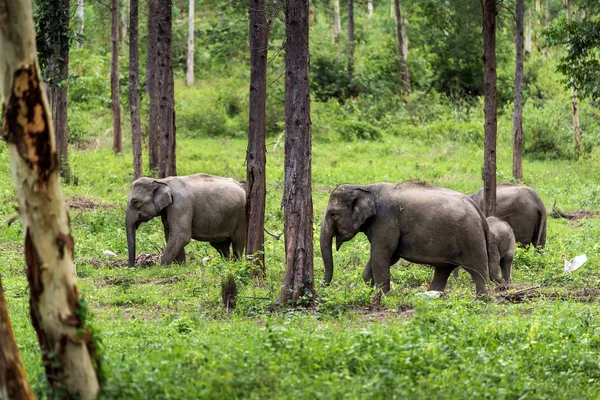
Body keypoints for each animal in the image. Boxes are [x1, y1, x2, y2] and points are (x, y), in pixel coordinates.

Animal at [318, 180, 502, 296]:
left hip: (471, 237)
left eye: (332, 214)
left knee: (478, 270)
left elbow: (381, 255)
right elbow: (389, 256)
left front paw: (383, 296)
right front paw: (371, 286)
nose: (323, 285)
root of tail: (477, 209)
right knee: (443, 270)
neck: (364, 186)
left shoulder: (386, 219)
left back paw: (481, 300)